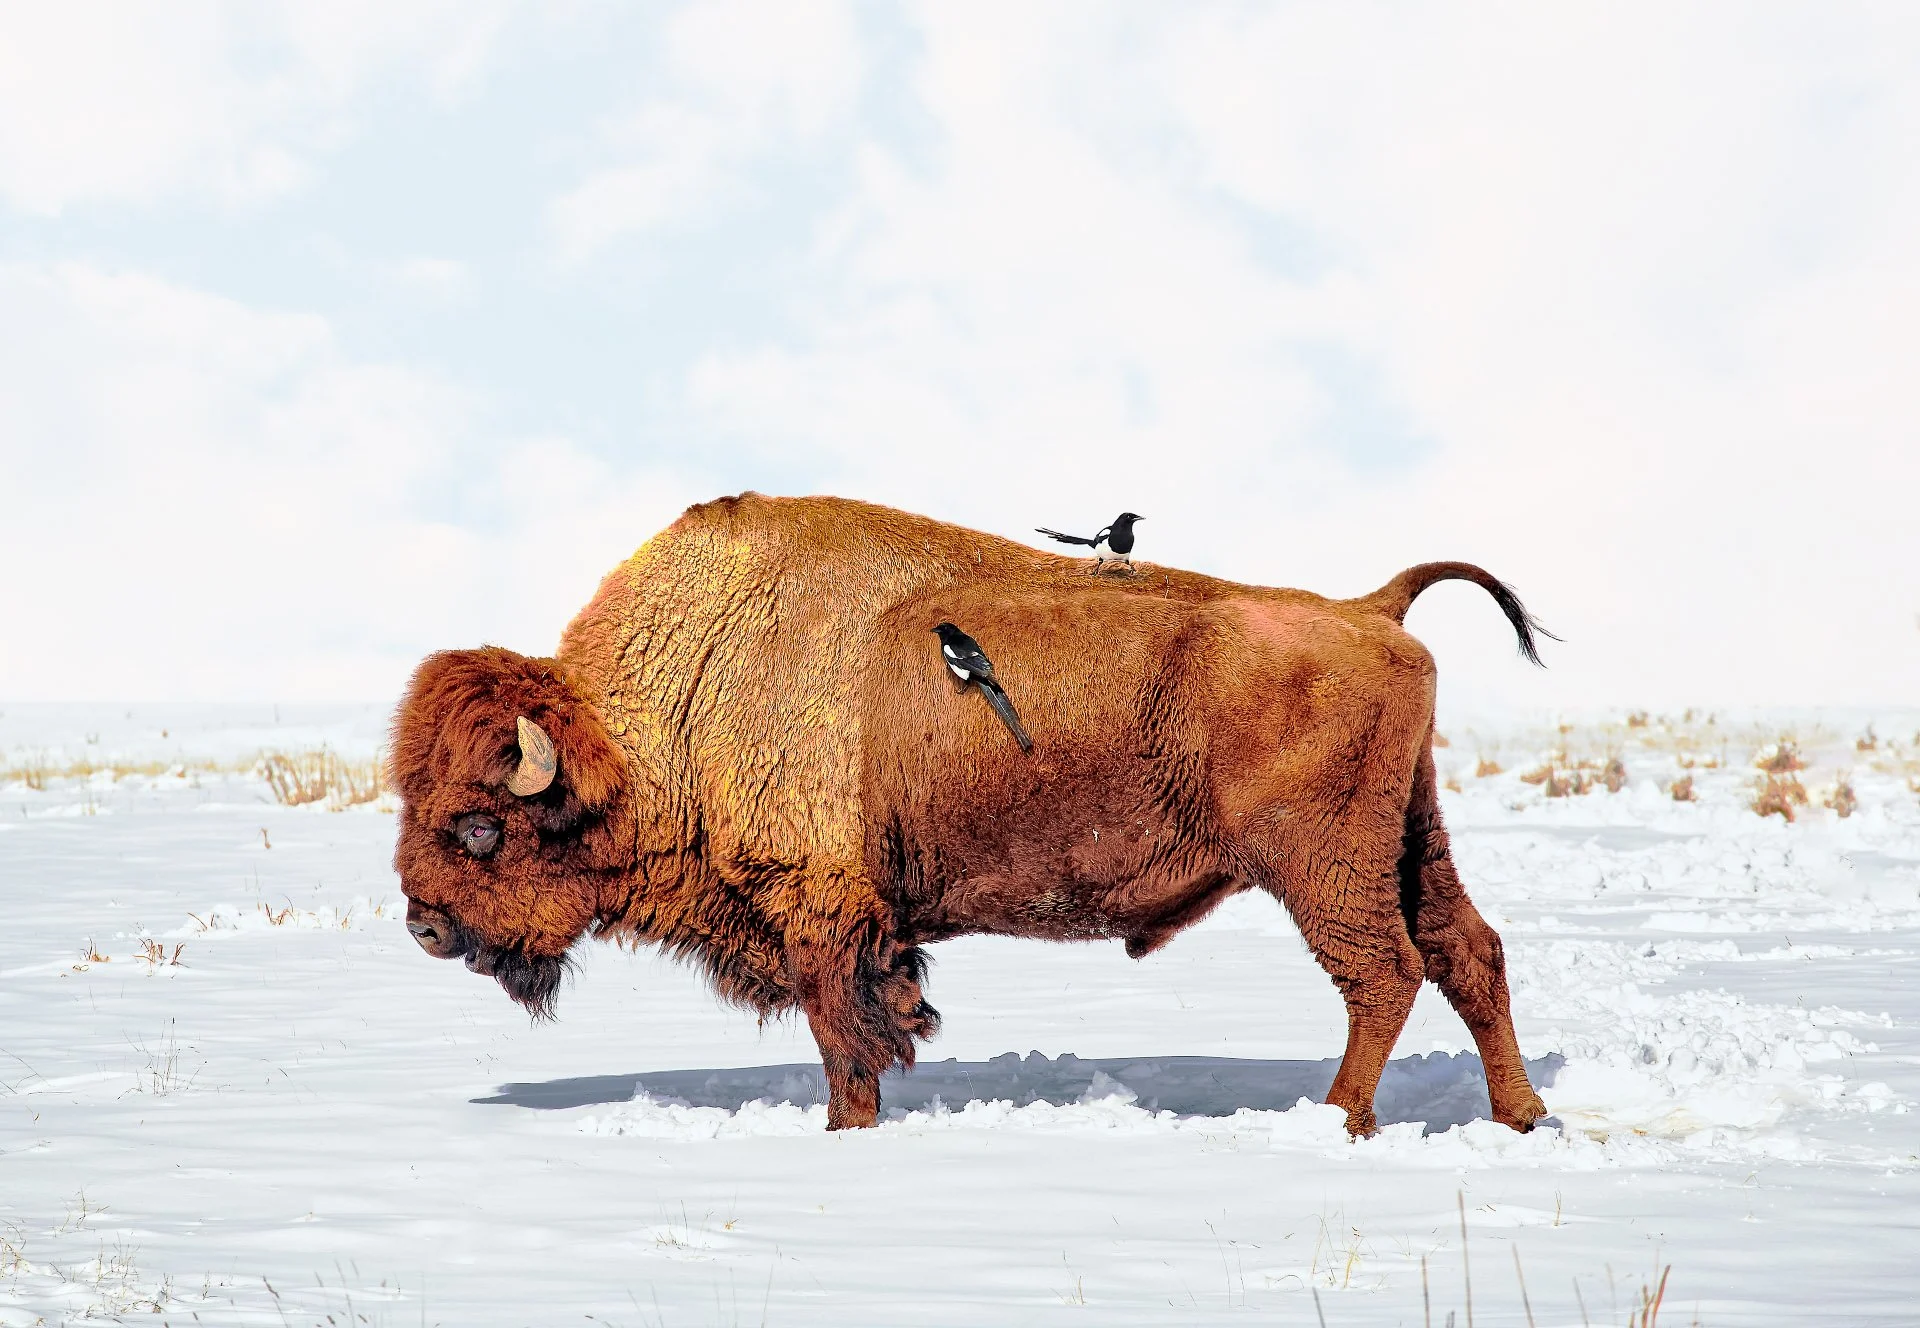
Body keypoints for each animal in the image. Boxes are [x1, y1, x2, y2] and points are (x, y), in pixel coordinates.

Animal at [392, 493, 1551, 1135]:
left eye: (480, 825)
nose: (425, 925)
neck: (670, 707)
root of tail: (1369, 609)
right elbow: (878, 1018)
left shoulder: (820, 915)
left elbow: (846, 1036)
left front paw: (846, 1128)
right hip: (1411, 837)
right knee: (1466, 950)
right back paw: (1523, 1115)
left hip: (1322, 865)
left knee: (1384, 971)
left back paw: (1339, 1121)